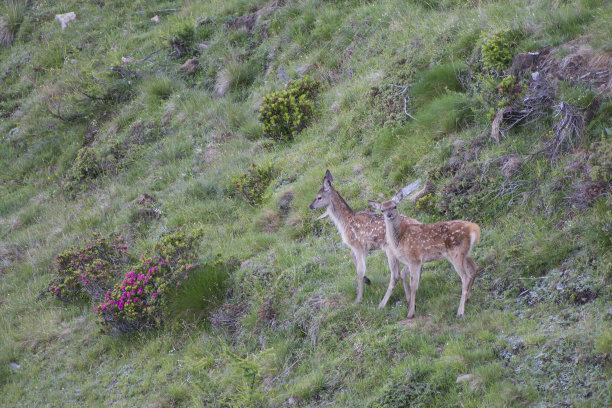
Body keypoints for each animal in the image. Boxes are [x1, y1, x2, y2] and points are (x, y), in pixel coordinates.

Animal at [310, 170, 420, 306]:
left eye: (319, 197)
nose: (310, 206)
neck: (345, 222)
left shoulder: (358, 245)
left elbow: (360, 270)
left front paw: (359, 298)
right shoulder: (361, 247)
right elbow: (353, 258)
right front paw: (367, 280)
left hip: (391, 249)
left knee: (396, 274)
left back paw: (383, 303)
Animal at [368, 182, 482, 318]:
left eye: (394, 206)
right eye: (382, 209)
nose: (389, 215)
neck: (400, 239)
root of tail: (474, 228)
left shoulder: (414, 258)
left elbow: (413, 284)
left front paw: (410, 312)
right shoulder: (413, 261)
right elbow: (404, 276)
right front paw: (409, 304)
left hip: (456, 253)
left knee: (465, 276)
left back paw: (460, 312)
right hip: (466, 253)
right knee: (475, 268)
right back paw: (467, 298)